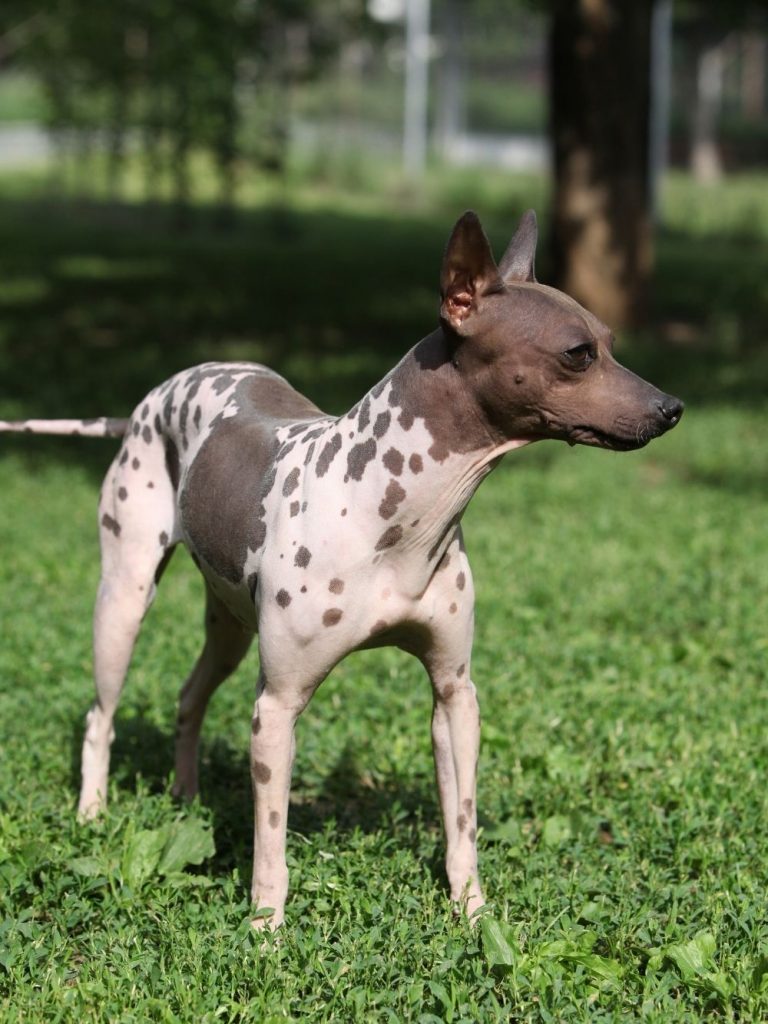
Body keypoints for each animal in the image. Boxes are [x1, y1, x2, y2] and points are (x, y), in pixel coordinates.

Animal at [0, 209, 684, 929]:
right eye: (578, 353)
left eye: (611, 341)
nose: (672, 408)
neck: (390, 511)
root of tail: (145, 401)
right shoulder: (276, 709)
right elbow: (270, 844)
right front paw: (266, 930)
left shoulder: (455, 694)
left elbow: (462, 822)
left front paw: (472, 912)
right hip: (124, 600)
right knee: (99, 716)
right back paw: (92, 811)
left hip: (229, 625)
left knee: (189, 697)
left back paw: (185, 800)